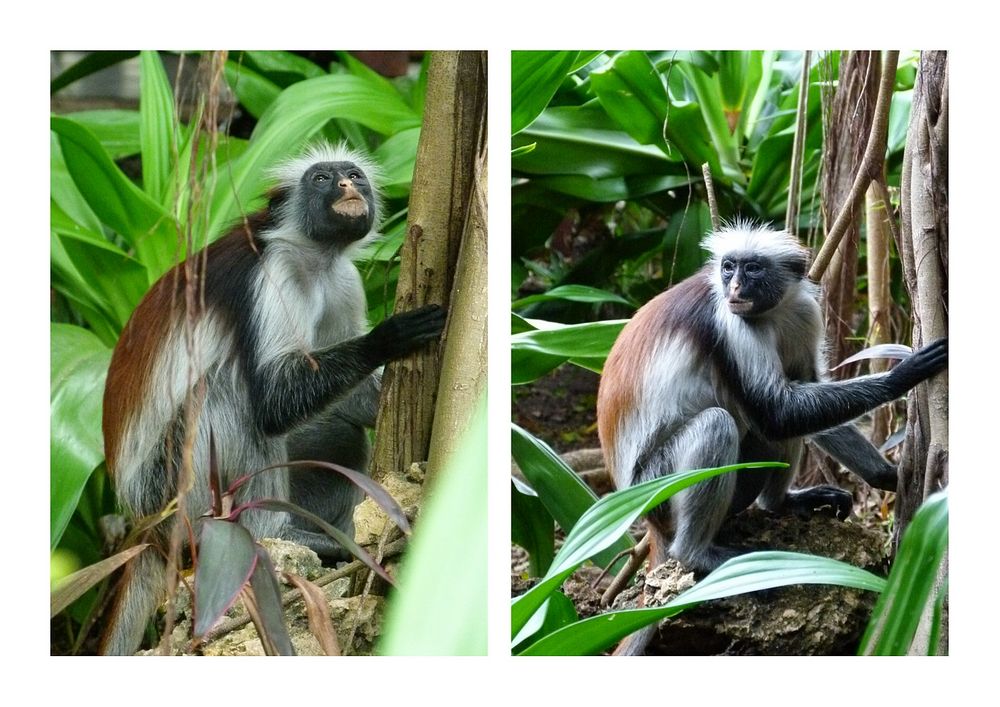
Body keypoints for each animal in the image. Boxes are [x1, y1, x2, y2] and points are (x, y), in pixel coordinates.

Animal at [102, 144, 446, 660]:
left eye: (354, 174)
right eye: (322, 178)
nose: (347, 186)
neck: (314, 256)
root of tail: (144, 523)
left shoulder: (342, 280)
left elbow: (347, 404)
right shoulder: (275, 273)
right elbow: (271, 403)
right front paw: (386, 338)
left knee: (338, 432)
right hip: (171, 483)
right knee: (228, 393)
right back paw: (274, 534)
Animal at [596, 224, 948, 656]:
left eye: (752, 268)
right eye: (728, 267)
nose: (734, 286)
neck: (769, 312)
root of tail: (649, 523)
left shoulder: (802, 311)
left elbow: (799, 395)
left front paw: (886, 475)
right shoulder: (733, 322)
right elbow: (779, 412)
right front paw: (904, 374)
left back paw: (780, 503)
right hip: (656, 485)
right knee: (723, 423)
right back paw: (696, 555)